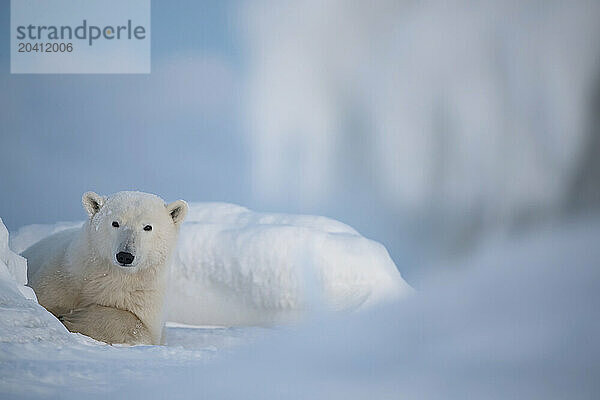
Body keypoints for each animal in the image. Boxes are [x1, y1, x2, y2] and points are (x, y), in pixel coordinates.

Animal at [22, 191, 188, 344]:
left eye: (148, 227)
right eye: (115, 223)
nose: (125, 256)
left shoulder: (145, 295)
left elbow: (141, 327)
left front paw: (75, 318)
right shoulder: (63, 276)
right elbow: (44, 300)